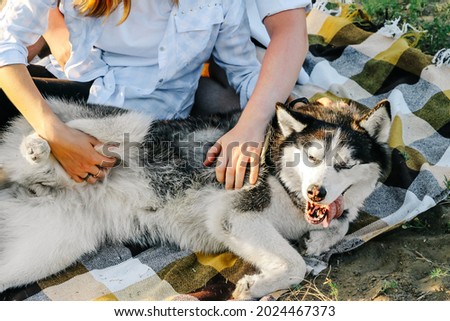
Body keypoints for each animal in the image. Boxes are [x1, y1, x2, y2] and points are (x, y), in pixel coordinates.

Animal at [0, 98, 390, 300]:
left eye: (345, 164)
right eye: (311, 157)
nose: (316, 192)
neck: (279, 168)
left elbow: (338, 225)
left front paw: (321, 239)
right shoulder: (234, 214)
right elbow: (294, 264)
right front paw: (255, 287)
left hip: (49, 249)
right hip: (131, 125)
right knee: (64, 133)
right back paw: (37, 148)